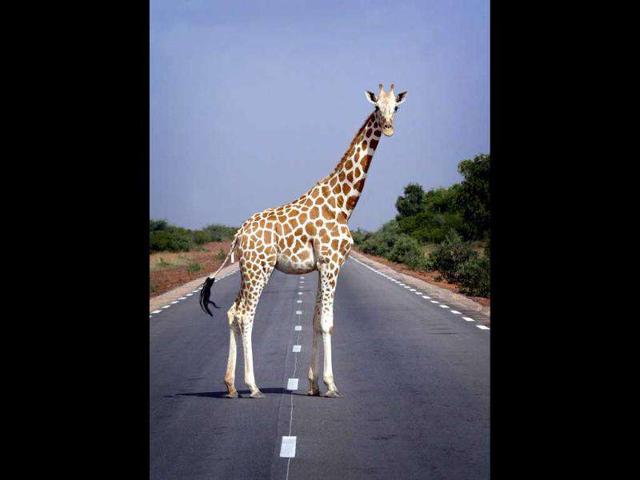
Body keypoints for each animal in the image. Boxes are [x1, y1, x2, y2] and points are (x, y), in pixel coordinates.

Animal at [200, 84, 408, 398]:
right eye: (376, 107)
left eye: (395, 107)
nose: (389, 128)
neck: (343, 203)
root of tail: (238, 235)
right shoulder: (332, 263)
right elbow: (327, 322)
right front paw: (331, 385)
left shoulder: (323, 266)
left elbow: (314, 320)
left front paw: (313, 385)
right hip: (260, 269)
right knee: (246, 315)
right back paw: (253, 386)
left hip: (246, 270)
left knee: (233, 312)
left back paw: (230, 385)